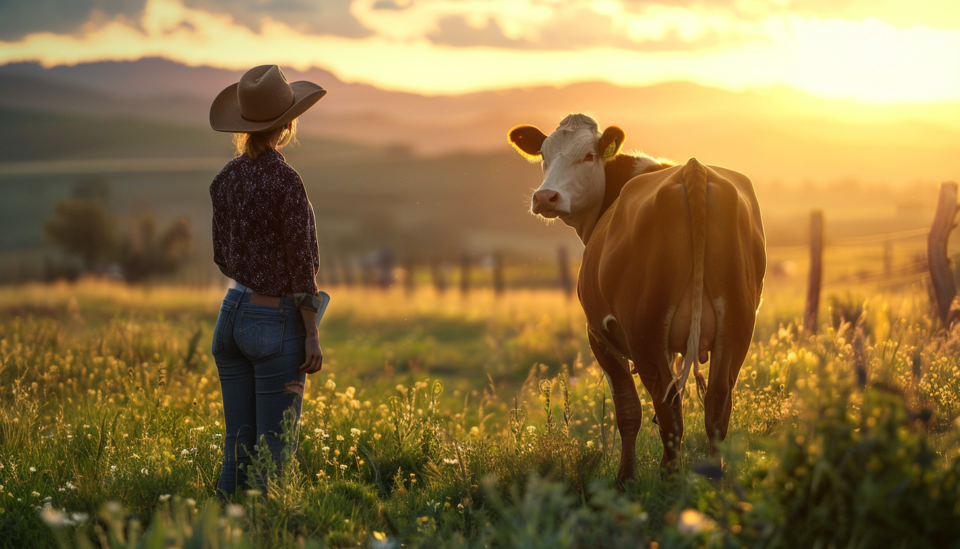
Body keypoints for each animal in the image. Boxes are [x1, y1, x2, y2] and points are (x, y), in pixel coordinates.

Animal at [510, 113, 764, 482]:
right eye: (543, 154)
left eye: (589, 155)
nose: (545, 198)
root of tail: (693, 170)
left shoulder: (599, 336)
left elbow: (628, 410)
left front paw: (625, 478)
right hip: (735, 330)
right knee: (716, 404)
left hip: (646, 332)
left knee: (668, 407)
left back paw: (669, 477)